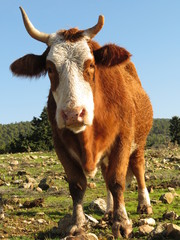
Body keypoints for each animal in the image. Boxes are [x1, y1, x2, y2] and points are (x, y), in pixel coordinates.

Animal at [10, 7, 153, 238]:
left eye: (91, 64)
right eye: (50, 68)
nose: (73, 114)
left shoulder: (122, 139)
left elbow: (117, 180)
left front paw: (122, 223)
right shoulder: (60, 144)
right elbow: (77, 185)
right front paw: (78, 225)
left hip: (139, 141)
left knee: (138, 168)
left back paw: (144, 205)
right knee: (105, 173)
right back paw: (109, 209)